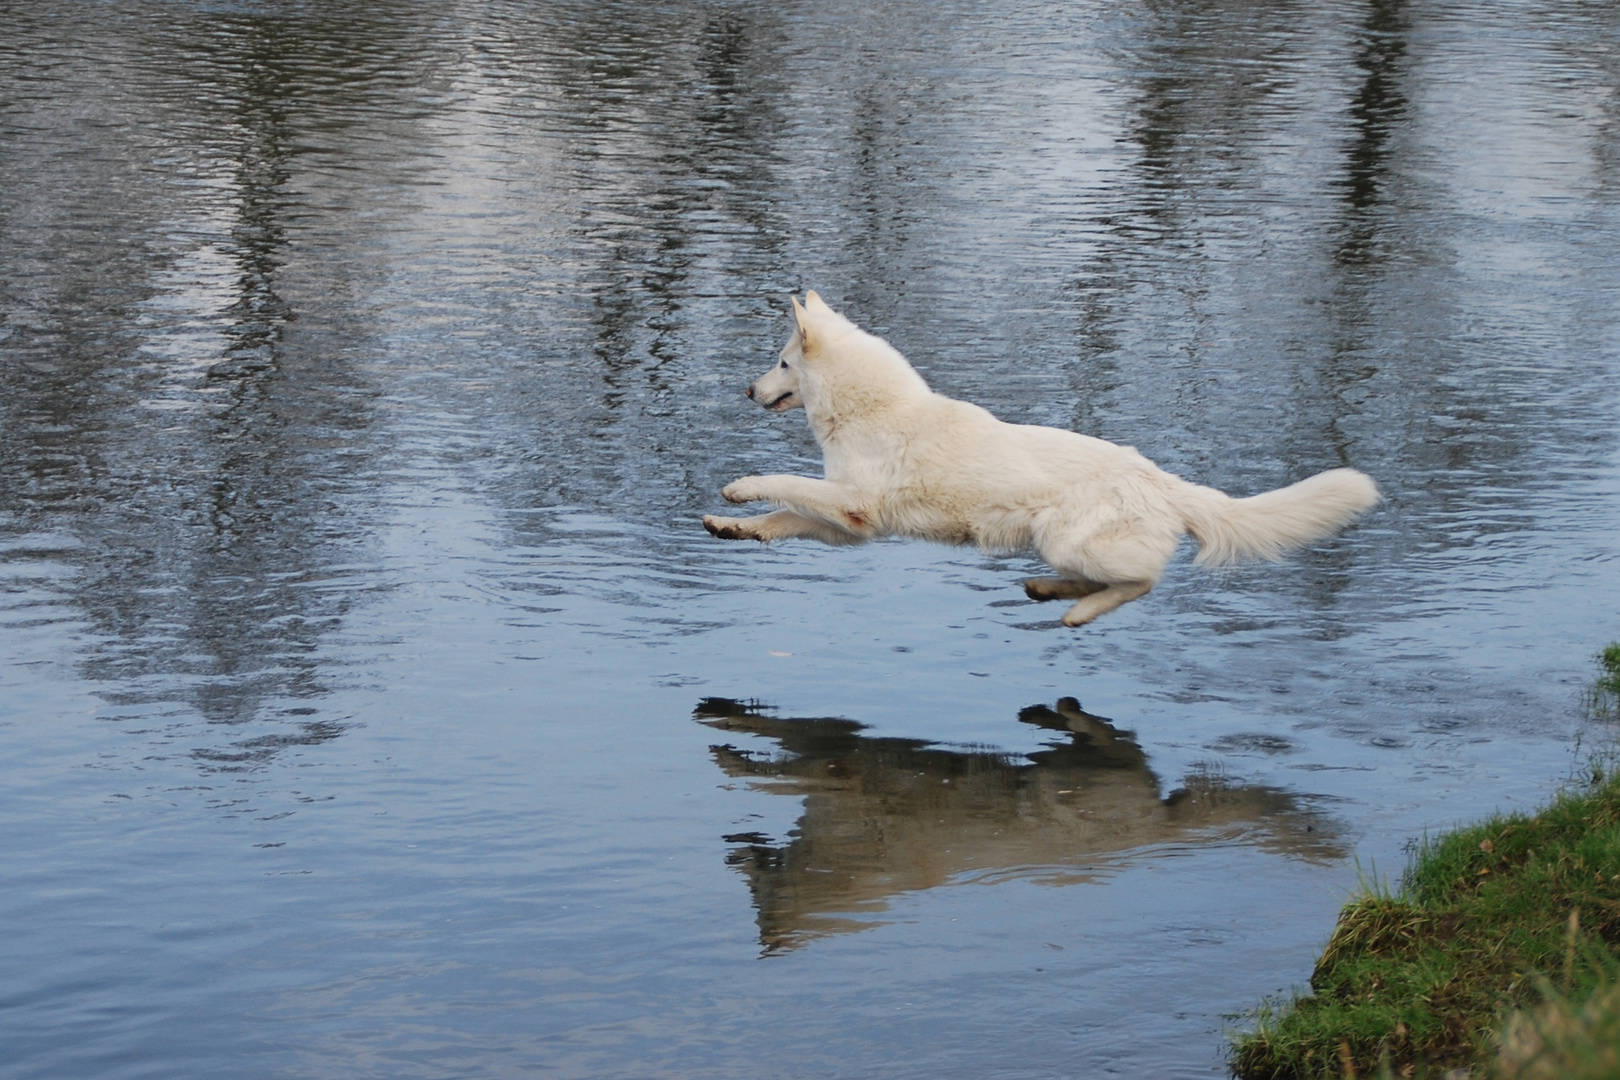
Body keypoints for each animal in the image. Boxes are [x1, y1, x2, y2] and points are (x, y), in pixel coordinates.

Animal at [699, 296, 1380, 628]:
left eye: (782, 362)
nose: (747, 390)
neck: (874, 409)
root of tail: (1161, 481)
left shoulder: (851, 502)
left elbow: (780, 482)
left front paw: (737, 488)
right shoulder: (853, 525)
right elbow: (782, 519)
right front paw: (733, 527)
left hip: (1067, 539)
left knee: (1144, 580)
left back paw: (1074, 610)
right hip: (1060, 544)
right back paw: (1050, 592)